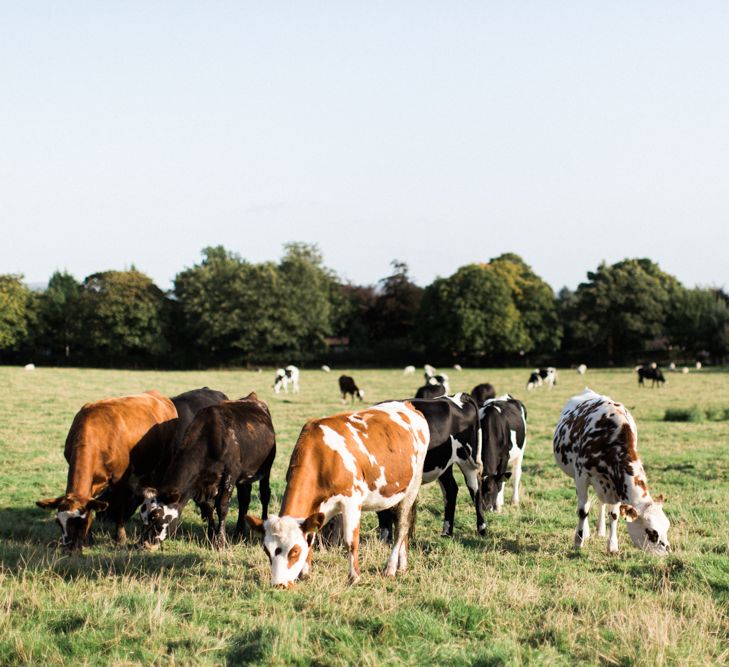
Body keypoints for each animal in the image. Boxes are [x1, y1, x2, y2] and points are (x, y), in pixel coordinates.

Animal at [37, 392, 178, 552]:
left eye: (80, 522)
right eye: (59, 523)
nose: (69, 548)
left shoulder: (120, 480)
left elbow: (119, 508)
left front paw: (120, 538)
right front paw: (88, 539)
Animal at [247, 400, 430, 588]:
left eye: (294, 551)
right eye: (266, 551)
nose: (279, 584)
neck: (322, 457)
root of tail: (407, 405)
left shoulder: (352, 500)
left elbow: (351, 541)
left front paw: (354, 576)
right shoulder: (318, 508)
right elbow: (311, 536)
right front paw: (305, 573)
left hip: (413, 486)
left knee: (402, 527)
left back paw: (391, 568)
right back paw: (403, 566)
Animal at [376, 394, 484, 540]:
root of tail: (457, 397)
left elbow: (386, 512)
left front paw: (385, 540)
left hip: (468, 459)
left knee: (475, 488)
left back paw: (482, 529)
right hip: (444, 463)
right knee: (451, 490)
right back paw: (446, 532)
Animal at [552, 388, 672, 556]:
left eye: (666, 527)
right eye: (651, 532)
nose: (667, 553)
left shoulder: (616, 485)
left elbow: (614, 515)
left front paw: (612, 546)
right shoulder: (582, 476)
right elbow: (583, 510)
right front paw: (578, 542)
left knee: (601, 502)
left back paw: (601, 530)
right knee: (584, 503)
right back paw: (586, 532)